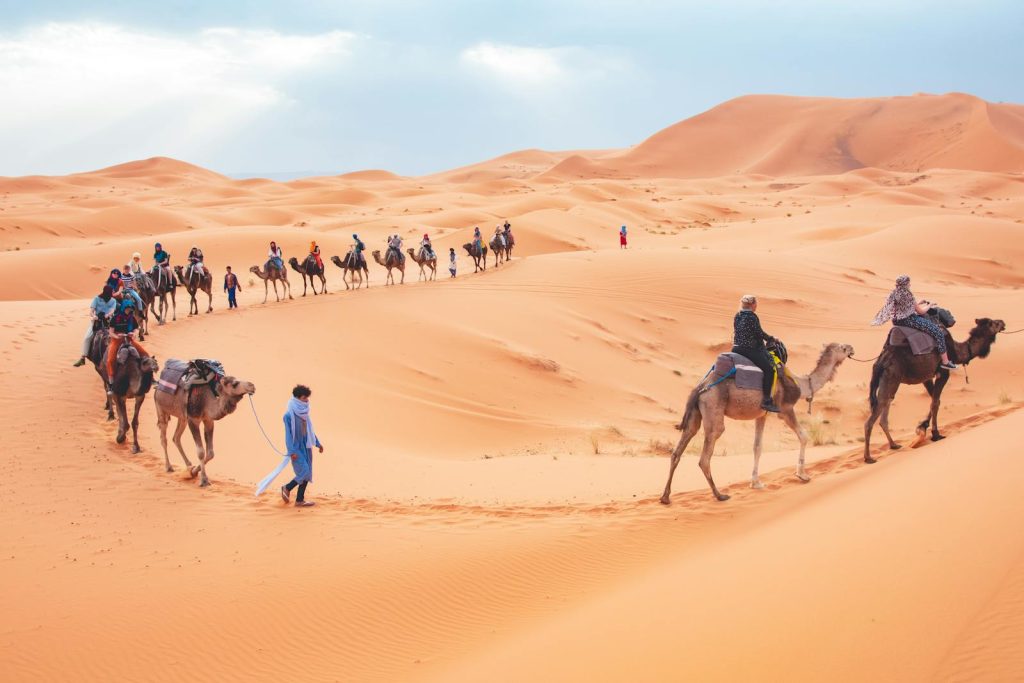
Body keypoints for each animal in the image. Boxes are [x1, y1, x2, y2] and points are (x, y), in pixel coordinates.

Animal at [659, 342, 851, 501]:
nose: (852, 348)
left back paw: (665, 497)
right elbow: (804, 436)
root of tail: (700, 387)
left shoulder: (762, 414)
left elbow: (757, 447)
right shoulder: (785, 409)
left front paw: (756, 482)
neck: (802, 383)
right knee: (706, 454)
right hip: (713, 406)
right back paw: (720, 495)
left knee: (678, 449)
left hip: (696, 414)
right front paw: (802, 475)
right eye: (843, 348)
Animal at [864, 317, 1007, 462]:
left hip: (889, 381)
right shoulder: (943, 372)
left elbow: (934, 400)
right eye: (994, 323)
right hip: (891, 378)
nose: (1003, 322)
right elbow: (935, 403)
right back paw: (868, 457)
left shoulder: (926, 377)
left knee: (885, 407)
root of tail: (880, 362)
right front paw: (935, 434)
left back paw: (894, 445)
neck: (957, 351)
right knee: (873, 417)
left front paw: (922, 427)